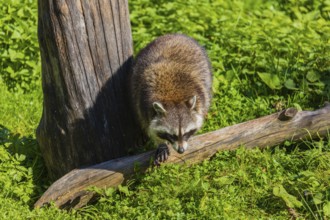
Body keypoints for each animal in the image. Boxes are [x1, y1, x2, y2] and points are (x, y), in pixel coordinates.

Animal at [130, 32, 213, 163]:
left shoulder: (201, 97)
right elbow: (149, 126)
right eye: (171, 135)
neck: (173, 98)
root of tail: (175, 34)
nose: (181, 150)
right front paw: (161, 143)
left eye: (185, 133)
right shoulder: (143, 104)